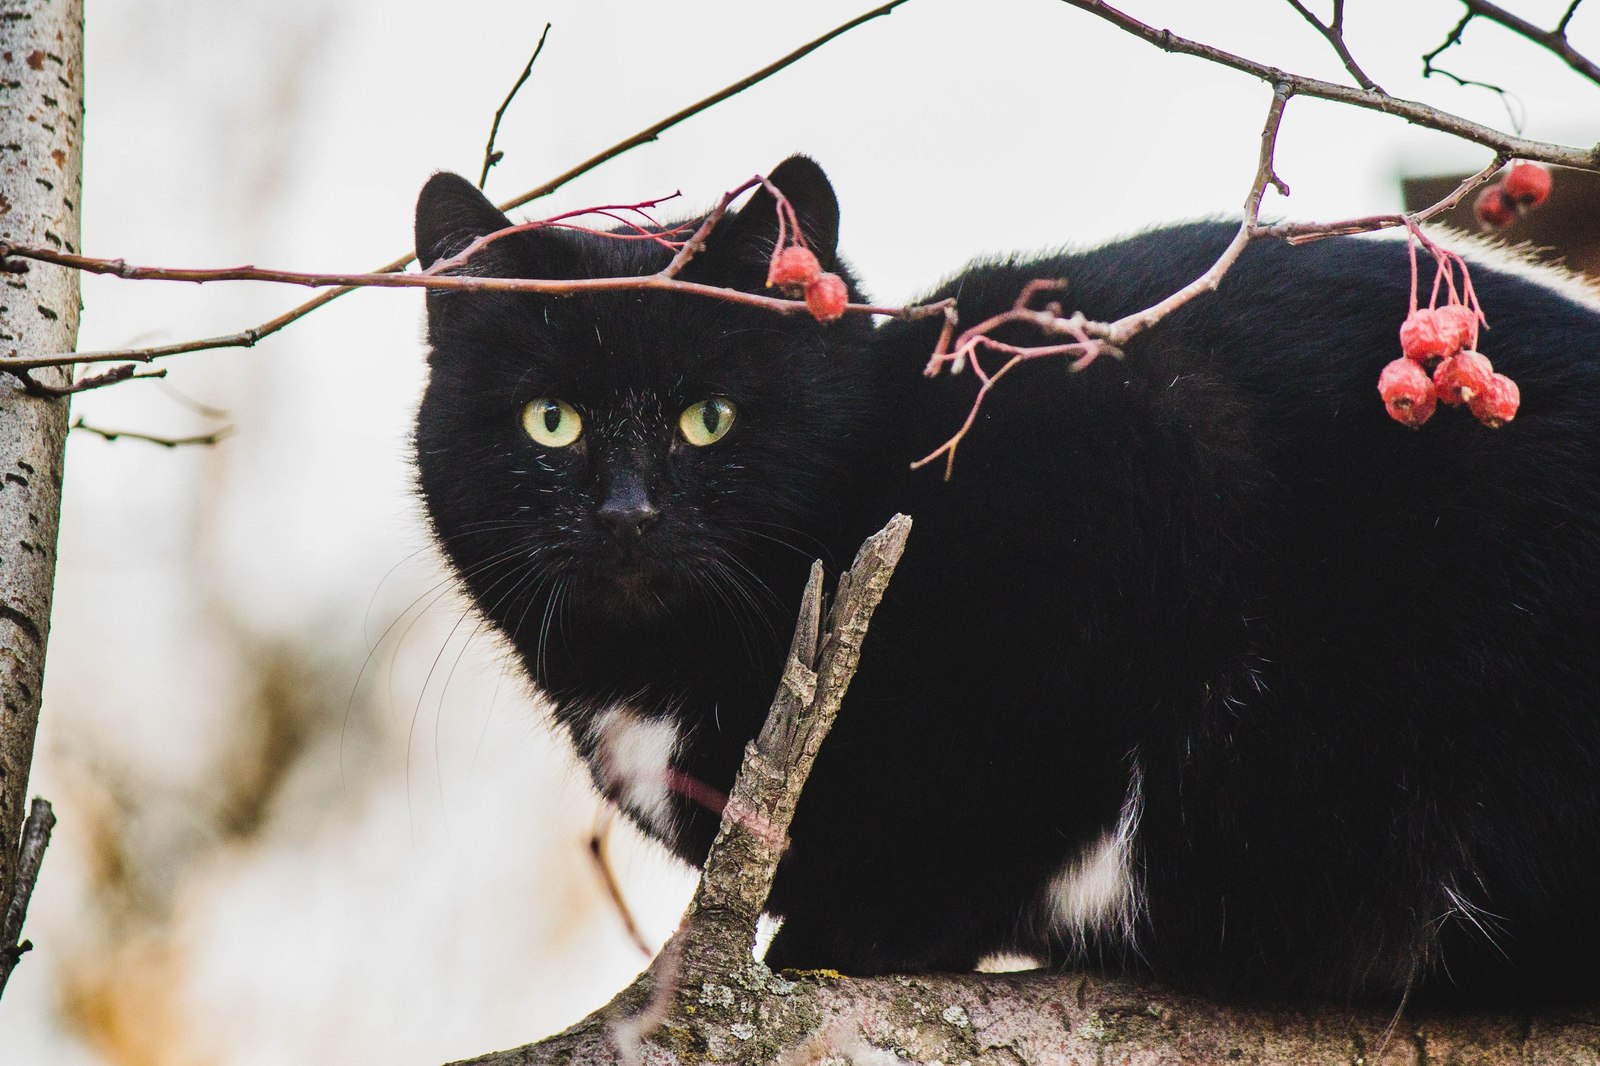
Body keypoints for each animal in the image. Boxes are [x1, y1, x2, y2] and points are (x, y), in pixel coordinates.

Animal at [416, 156, 1600, 998]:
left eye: (710, 417)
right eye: (551, 420)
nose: (627, 513)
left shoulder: (1115, 468)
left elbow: (1005, 777)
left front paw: (862, 928)